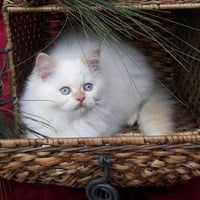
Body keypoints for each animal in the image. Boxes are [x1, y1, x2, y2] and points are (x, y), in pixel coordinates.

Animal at [19, 31, 174, 138]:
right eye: (65, 91)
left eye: (88, 87)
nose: (81, 98)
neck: (69, 121)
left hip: (135, 88)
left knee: (139, 103)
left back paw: (130, 119)